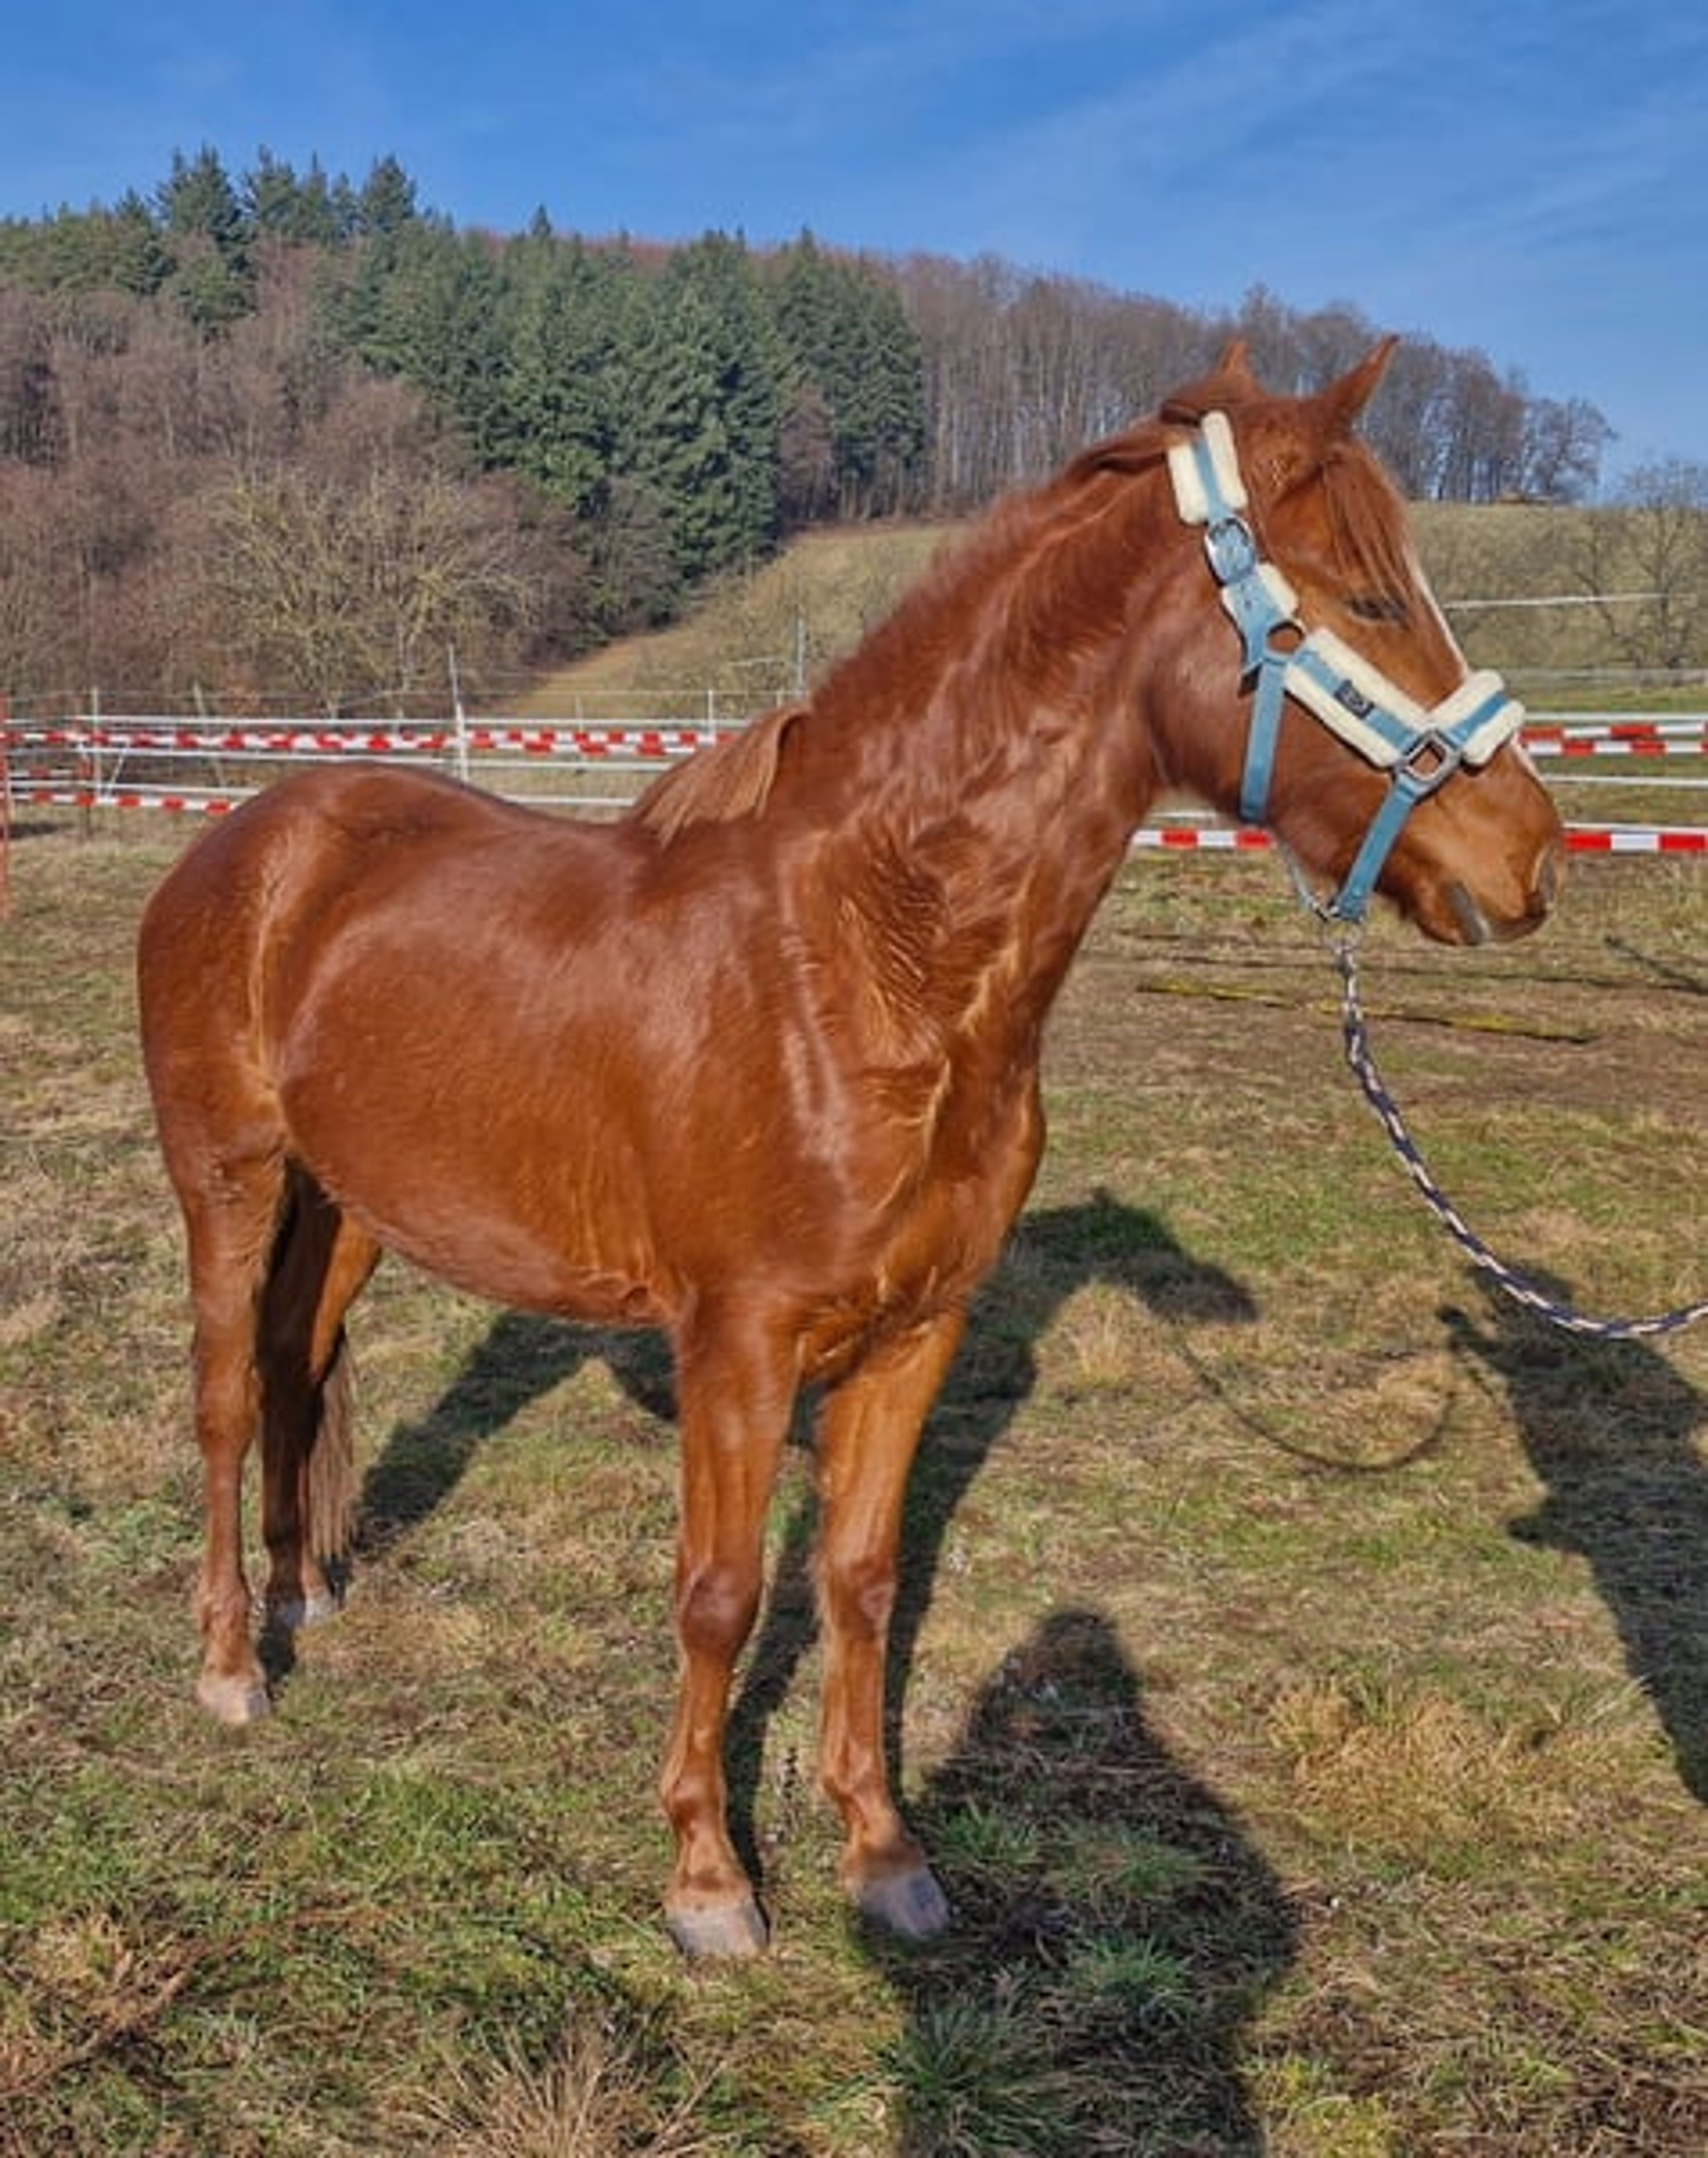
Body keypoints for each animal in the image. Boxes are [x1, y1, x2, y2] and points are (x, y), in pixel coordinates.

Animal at [137, 341, 1563, 1957]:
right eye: (1374, 600)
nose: (1530, 859)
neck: (869, 961)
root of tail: (253, 837)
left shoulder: (916, 1333)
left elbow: (863, 1582)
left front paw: (881, 1853)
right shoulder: (739, 1344)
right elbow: (720, 1590)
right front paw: (708, 1879)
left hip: (352, 1204)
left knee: (296, 1366)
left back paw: (304, 1595)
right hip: (229, 1181)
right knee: (225, 1400)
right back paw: (232, 1665)